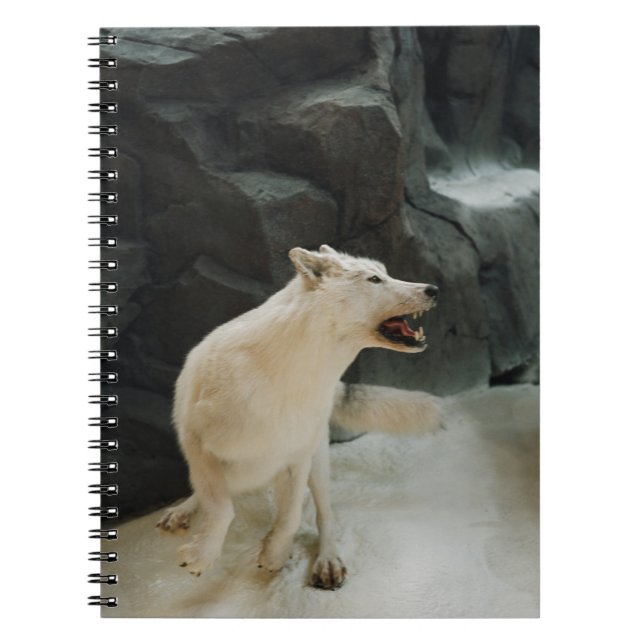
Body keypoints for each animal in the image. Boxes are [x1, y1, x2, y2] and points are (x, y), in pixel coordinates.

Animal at [157, 244, 441, 589]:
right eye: (374, 279)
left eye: (385, 273)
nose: (433, 289)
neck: (289, 382)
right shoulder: (198, 446)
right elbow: (222, 508)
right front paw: (202, 555)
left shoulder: (298, 457)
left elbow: (291, 516)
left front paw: (274, 554)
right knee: (208, 493)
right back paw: (182, 512)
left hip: (318, 461)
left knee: (324, 514)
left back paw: (327, 560)